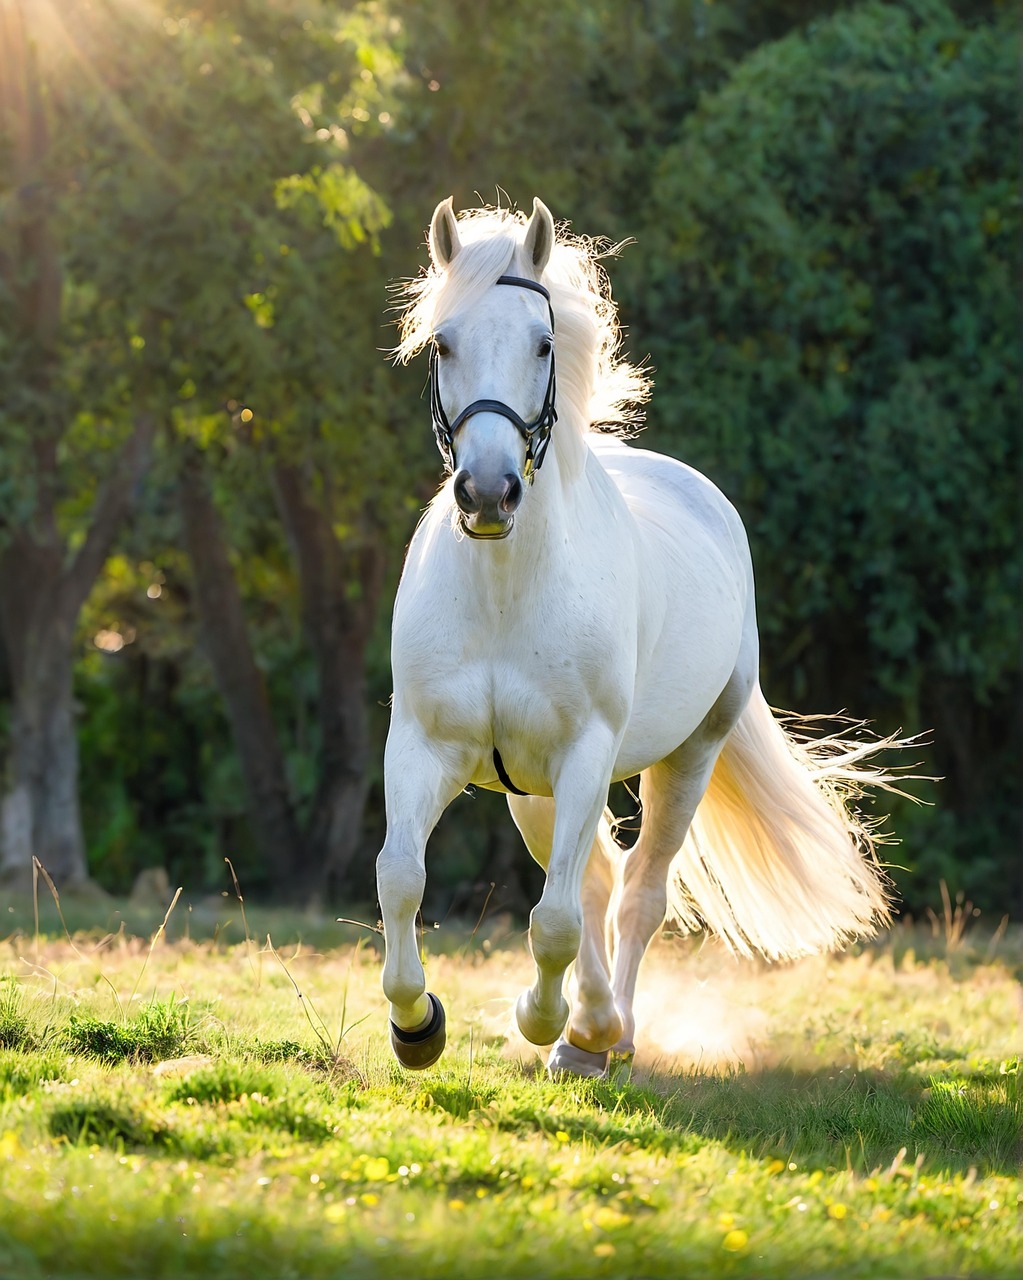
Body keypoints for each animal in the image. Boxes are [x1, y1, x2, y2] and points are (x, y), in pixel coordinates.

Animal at [376, 197, 899, 1077]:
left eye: (542, 343)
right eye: (442, 343)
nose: (487, 493)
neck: (502, 594)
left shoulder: (585, 753)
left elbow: (555, 916)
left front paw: (547, 1021)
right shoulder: (425, 747)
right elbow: (401, 878)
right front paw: (417, 1027)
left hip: (687, 756)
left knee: (636, 893)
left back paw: (603, 1034)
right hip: (532, 790)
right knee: (591, 881)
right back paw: (584, 1031)